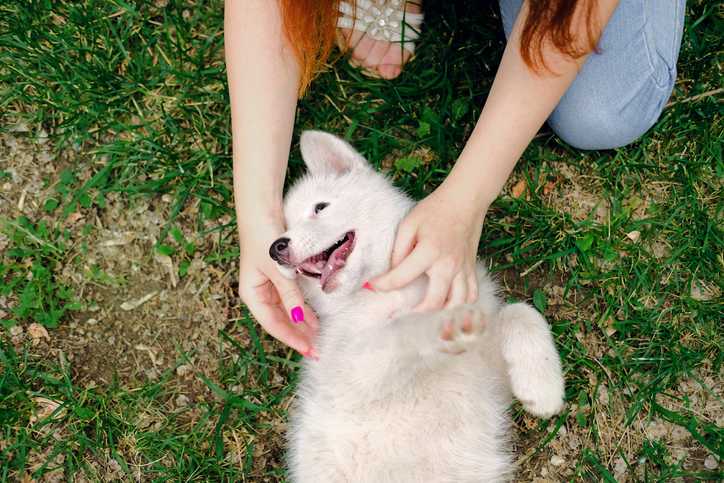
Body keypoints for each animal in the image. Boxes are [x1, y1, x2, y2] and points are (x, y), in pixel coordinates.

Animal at [272, 130, 564, 482]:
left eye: (319, 207)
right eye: (282, 231)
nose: (275, 248)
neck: (382, 289)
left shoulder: (487, 370)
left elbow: (521, 312)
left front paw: (543, 385)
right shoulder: (345, 374)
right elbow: (402, 328)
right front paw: (439, 322)